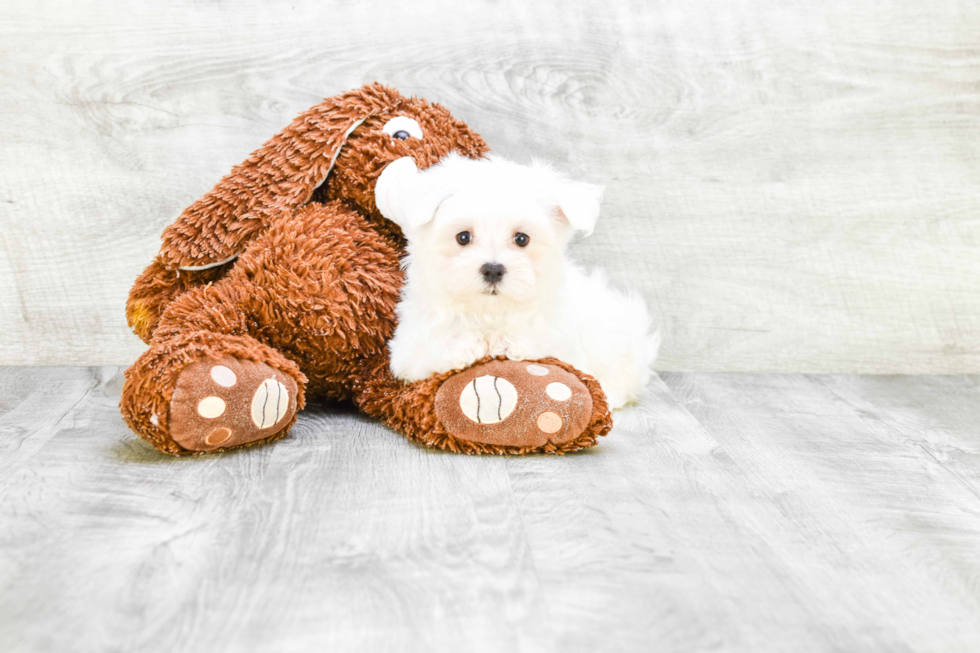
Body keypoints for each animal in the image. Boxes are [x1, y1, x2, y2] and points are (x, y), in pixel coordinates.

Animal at [376, 153, 660, 408]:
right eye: (463, 237)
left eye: (521, 239)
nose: (493, 269)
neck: (490, 313)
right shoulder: (409, 349)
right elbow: (435, 348)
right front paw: (467, 345)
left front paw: (506, 344)